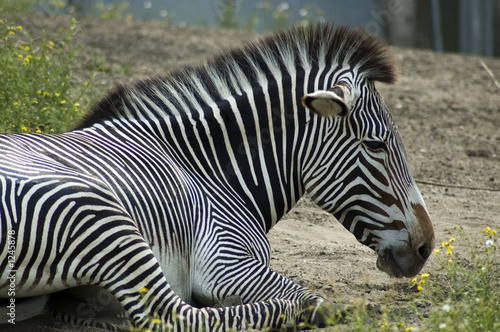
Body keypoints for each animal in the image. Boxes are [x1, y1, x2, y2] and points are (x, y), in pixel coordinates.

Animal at [0, 22, 434, 330]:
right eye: (376, 145)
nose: (426, 247)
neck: (207, 171)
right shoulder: (224, 258)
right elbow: (310, 297)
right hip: (100, 214)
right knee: (175, 316)